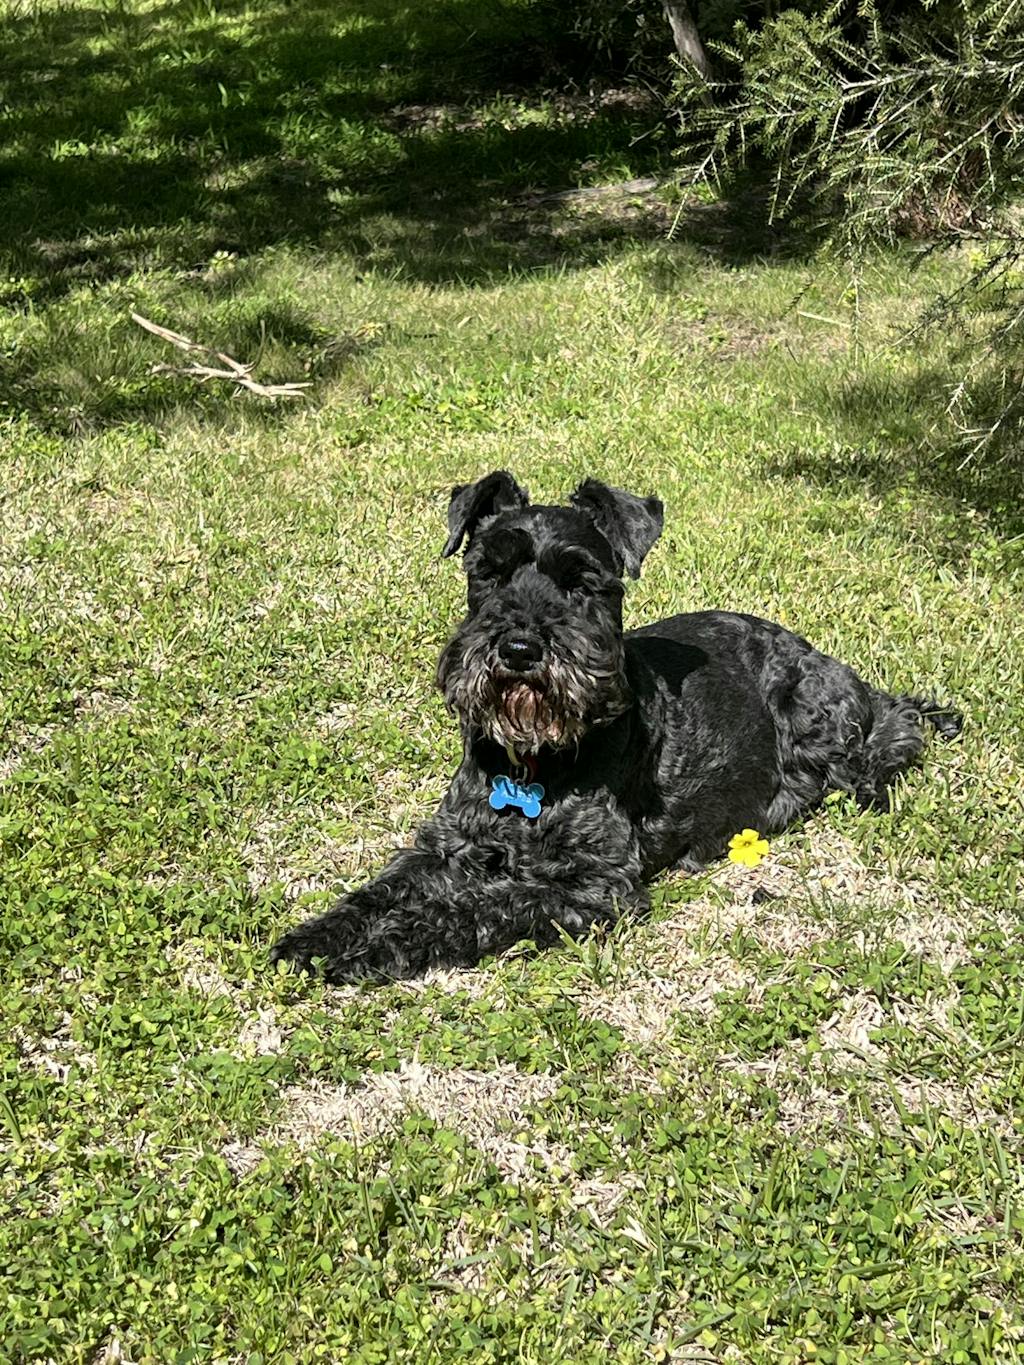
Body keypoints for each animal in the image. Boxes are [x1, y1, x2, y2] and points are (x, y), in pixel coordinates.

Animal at [270, 471, 961, 984]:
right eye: (487, 573)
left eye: (583, 583)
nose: (519, 649)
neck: (533, 766)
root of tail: (818, 653)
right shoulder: (445, 844)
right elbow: (380, 890)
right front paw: (316, 936)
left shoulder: (593, 884)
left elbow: (477, 905)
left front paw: (374, 947)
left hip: (819, 718)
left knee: (891, 731)